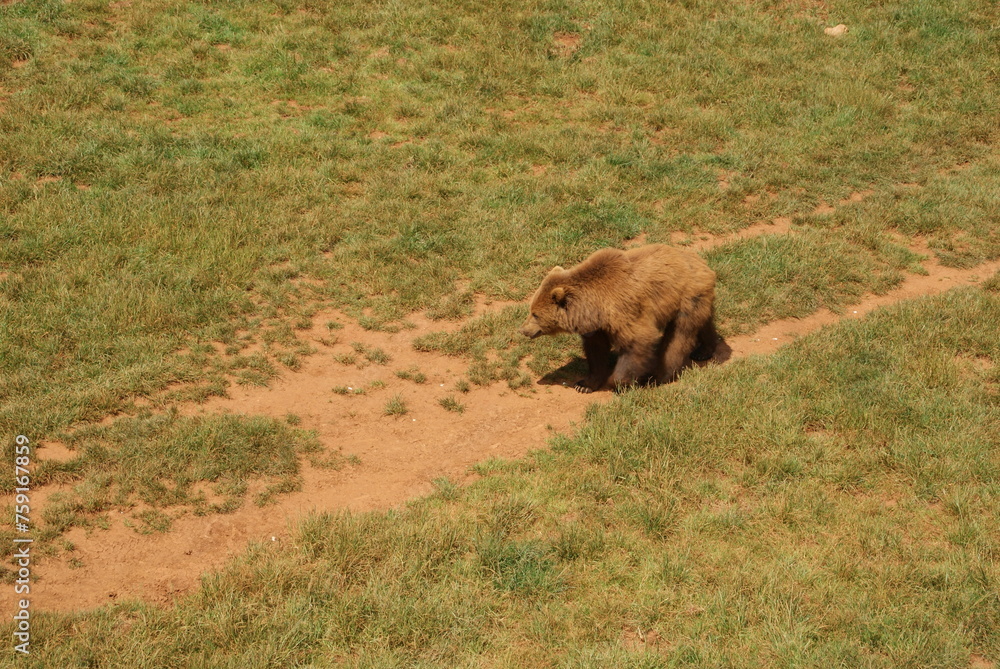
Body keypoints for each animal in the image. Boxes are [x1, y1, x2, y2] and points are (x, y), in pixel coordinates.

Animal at [519, 244, 718, 393]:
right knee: (704, 322)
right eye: (530, 309)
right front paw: (585, 384)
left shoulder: (624, 312)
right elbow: (596, 351)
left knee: (679, 336)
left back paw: (658, 375)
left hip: (687, 297)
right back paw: (704, 350)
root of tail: (702, 261)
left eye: (535, 314)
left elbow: (638, 341)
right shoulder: (596, 327)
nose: (523, 329)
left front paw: (618, 382)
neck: (594, 307)